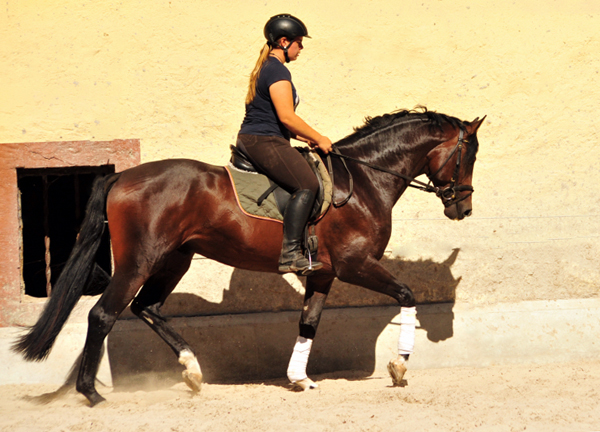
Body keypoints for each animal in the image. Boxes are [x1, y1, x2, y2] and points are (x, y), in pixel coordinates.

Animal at [12, 108, 482, 404]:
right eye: (468, 156)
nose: (463, 209)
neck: (365, 180)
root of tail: (123, 177)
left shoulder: (324, 274)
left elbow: (308, 323)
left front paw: (299, 379)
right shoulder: (355, 265)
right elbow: (407, 294)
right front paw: (399, 367)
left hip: (175, 259)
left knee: (148, 308)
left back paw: (192, 371)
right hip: (139, 261)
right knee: (104, 314)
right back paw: (91, 393)